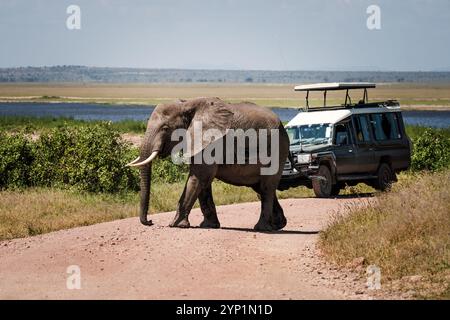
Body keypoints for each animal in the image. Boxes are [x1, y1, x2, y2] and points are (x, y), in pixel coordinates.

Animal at [125, 96, 288, 231]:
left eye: (165, 128)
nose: (150, 221)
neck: (187, 105)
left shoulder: (211, 141)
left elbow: (199, 178)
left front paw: (175, 225)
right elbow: (203, 183)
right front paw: (209, 225)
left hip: (277, 150)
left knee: (266, 188)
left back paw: (262, 228)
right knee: (260, 188)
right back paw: (278, 225)